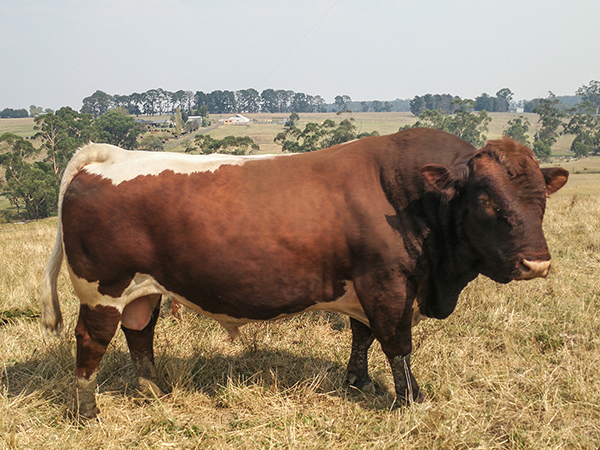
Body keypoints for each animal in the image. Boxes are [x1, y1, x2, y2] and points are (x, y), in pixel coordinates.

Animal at [41, 127, 568, 418]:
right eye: (487, 201)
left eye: (541, 198)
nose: (537, 263)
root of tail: (112, 154)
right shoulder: (389, 284)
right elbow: (396, 344)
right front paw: (410, 399)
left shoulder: (365, 287)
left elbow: (361, 335)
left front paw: (359, 383)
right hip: (103, 289)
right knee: (91, 342)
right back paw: (88, 412)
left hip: (144, 288)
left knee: (140, 333)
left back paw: (154, 391)